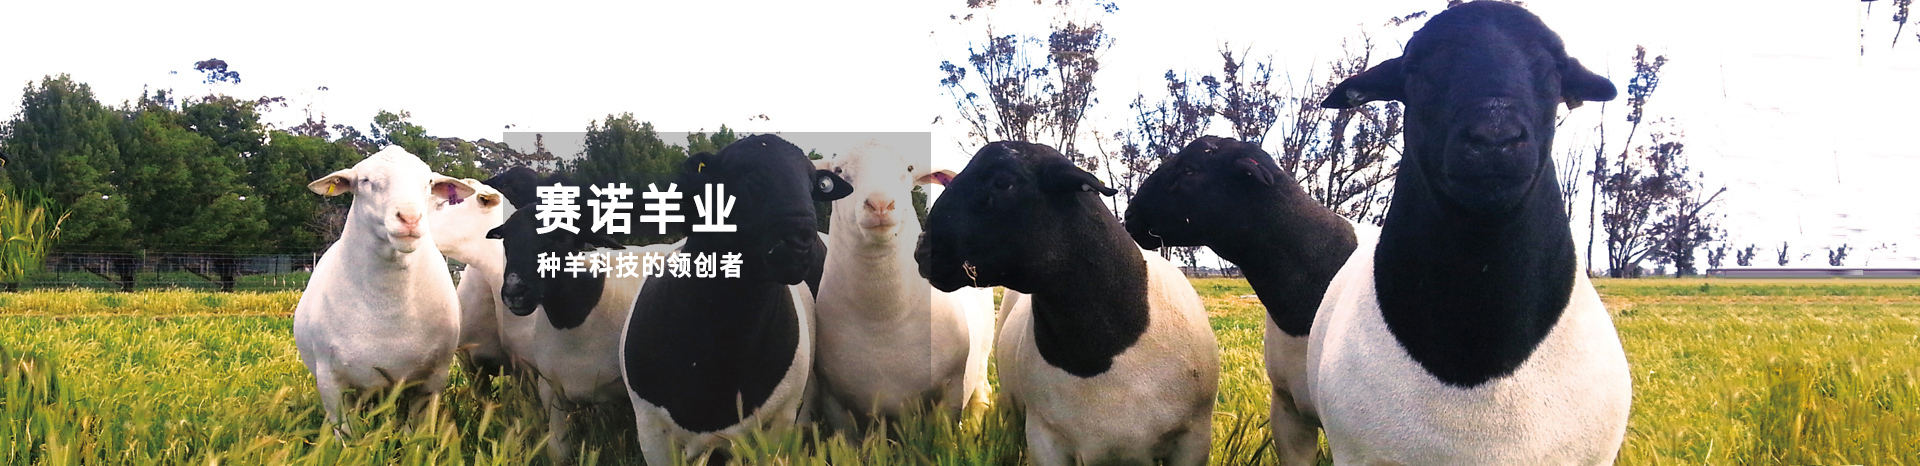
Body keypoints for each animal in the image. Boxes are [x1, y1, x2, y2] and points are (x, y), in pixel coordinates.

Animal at [293, 146, 476, 433]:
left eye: (429, 182)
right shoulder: (330, 382)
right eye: (365, 181)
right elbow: (344, 434)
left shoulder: (432, 380)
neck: (388, 307)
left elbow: (417, 433)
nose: (410, 218)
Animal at [810, 140, 995, 433]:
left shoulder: (954, 386)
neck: (884, 319)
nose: (880, 204)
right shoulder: (835, 402)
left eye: (908, 169)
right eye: (838, 171)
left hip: (983, 354)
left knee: (982, 395)